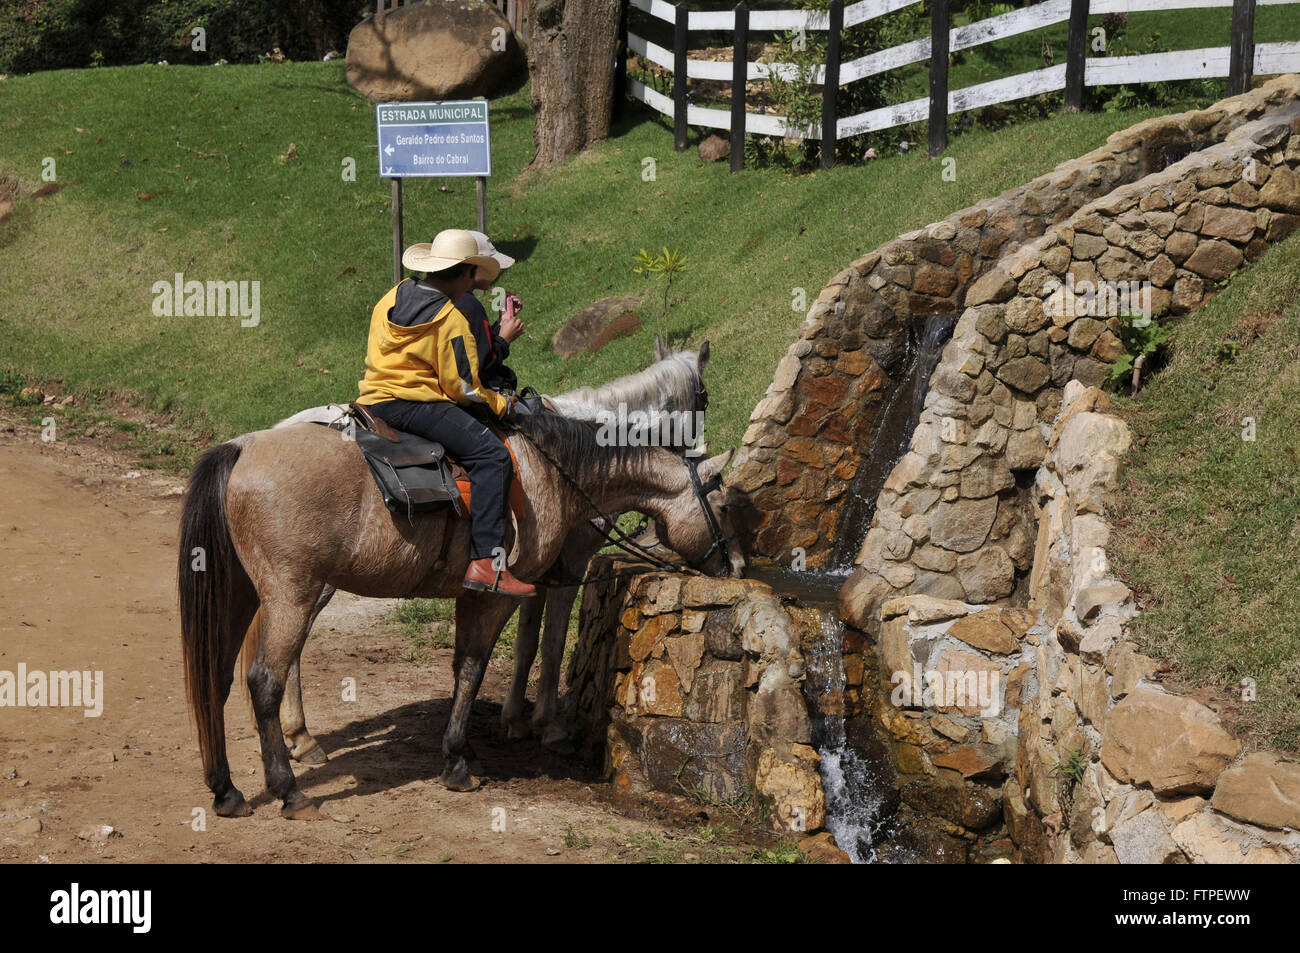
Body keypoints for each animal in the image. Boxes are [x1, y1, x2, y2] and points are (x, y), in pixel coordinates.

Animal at [178, 409, 737, 818]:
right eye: (726, 507)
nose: (735, 564)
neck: (551, 473)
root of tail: (243, 447)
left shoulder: (483, 597)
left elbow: (468, 666)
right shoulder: (496, 595)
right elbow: (477, 666)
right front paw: (457, 759)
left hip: (244, 595)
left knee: (217, 679)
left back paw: (226, 790)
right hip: (292, 595)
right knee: (264, 681)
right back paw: (289, 790)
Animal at [262, 336, 733, 763]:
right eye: (704, 399)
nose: (700, 453)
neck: (572, 463)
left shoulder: (538, 572)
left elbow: (526, 639)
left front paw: (517, 718)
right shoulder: (569, 567)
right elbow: (551, 641)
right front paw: (548, 726)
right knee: (291, 646)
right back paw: (300, 736)